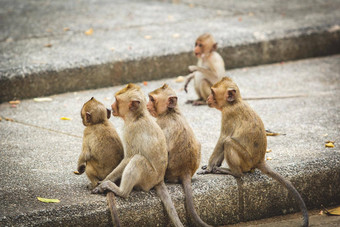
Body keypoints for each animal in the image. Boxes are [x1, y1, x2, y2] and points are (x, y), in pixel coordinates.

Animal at [91, 83, 185, 227]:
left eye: (116, 100)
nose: (111, 106)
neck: (137, 117)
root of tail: (159, 179)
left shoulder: (130, 131)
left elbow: (128, 158)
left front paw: (104, 182)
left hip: (149, 178)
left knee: (138, 160)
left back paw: (121, 191)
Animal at [147, 84, 211, 226]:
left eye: (152, 99)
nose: (147, 105)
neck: (171, 112)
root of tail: (185, 171)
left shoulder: (159, 124)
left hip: (169, 173)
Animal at [198, 77, 310, 227]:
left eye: (212, 92)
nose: (207, 98)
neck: (234, 103)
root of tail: (259, 160)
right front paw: (211, 165)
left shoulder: (228, 115)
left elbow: (222, 139)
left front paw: (210, 168)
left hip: (246, 160)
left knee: (228, 142)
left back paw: (233, 172)